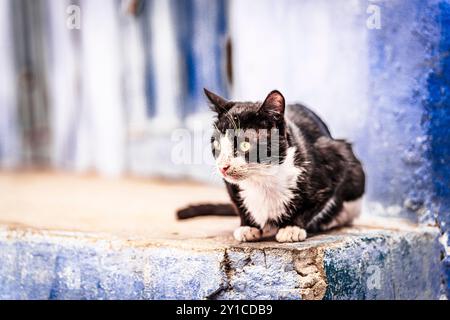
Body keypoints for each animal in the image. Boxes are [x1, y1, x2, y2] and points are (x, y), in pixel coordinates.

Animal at [177, 89, 366, 244]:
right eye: (216, 144)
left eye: (245, 145)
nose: (223, 166)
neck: (262, 178)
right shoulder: (230, 185)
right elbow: (238, 203)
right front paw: (248, 226)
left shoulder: (336, 158)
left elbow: (313, 204)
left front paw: (292, 227)